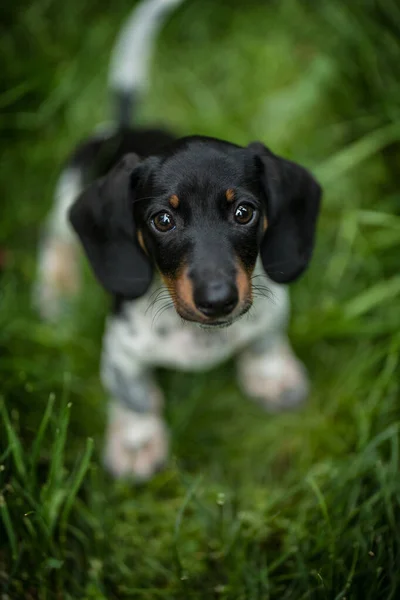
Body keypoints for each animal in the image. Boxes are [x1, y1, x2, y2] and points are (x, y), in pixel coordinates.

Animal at [34, 0, 322, 480]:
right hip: (67, 190)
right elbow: (131, 392)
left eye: (244, 212)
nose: (218, 300)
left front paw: (271, 374)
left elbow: (265, 337)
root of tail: (124, 125)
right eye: (163, 220)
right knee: (55, 239)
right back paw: (55, 292)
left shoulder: (270, 305)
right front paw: (136, 440)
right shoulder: (121, 346)